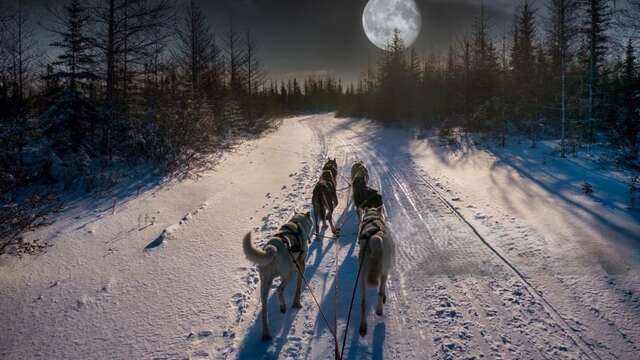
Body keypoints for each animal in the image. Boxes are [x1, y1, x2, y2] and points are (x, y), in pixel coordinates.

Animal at [242, 211, 312, 340]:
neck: (297, 223)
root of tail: (271, 249)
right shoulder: (300, 264)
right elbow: (298, 286)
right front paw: (297, 303)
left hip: (265, 284)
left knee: (264, 310)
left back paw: (266, 334)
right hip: (288, 273)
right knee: (280, 289)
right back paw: (283, 306)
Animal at [358, 205, 392, 338]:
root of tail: (375, 238)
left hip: (363, 277)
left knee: (364, 301)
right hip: (377, 273)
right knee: (378, 292)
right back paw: (378, 310)